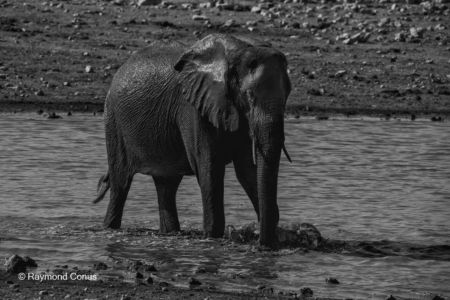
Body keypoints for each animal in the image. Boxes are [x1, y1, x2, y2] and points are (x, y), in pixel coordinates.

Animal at [94, 33, 292, 248]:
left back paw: (170, 233)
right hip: (114, 122)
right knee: (121, 184)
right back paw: (109, 229)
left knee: (166, 186)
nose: (263, 244)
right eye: (249, 96)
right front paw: (212, 237)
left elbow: (247, 171)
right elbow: (209, 168)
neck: (240, 51)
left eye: (288, 95)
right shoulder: (193, 108)